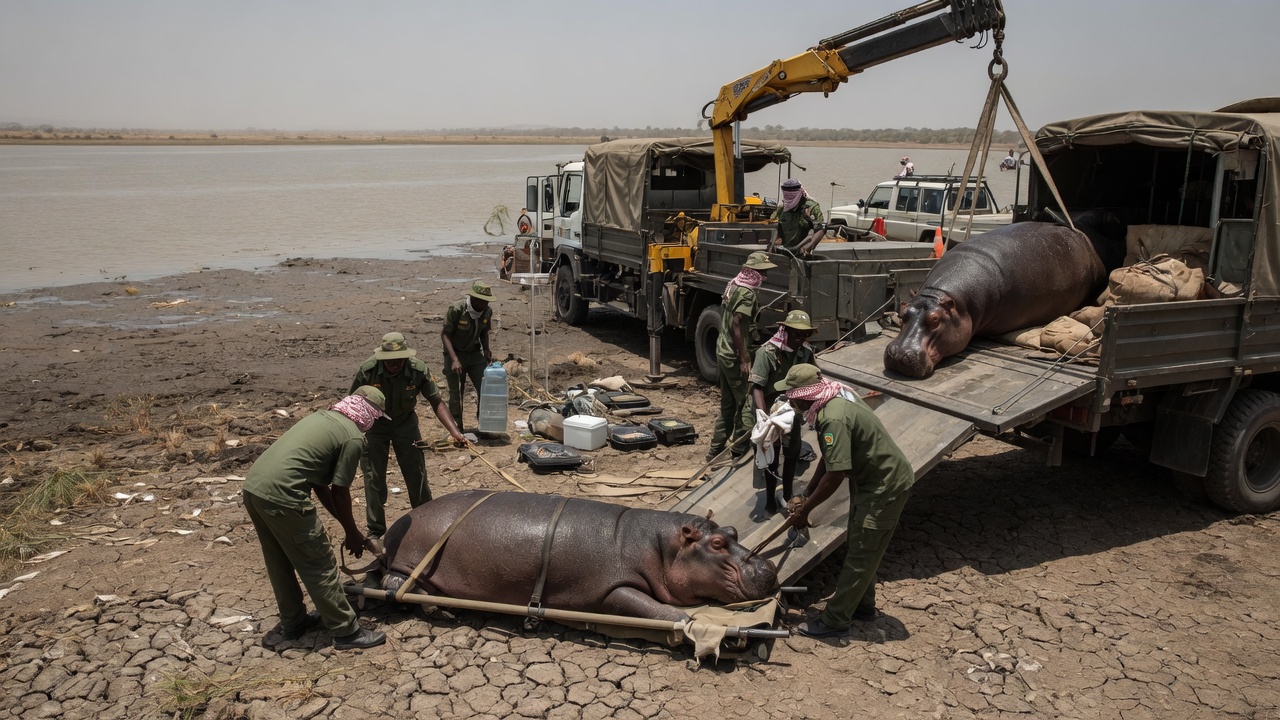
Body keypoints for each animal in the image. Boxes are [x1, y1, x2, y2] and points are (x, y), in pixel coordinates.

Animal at [378, 490, 779, 622]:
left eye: (734, 532)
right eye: (717, 544)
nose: (768, 567)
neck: (660, 546)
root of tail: (397, 524)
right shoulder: (610, 588)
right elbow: (650, 606)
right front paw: (685, 619)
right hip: (410, 561)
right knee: (393, 582)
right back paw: (439, 609)